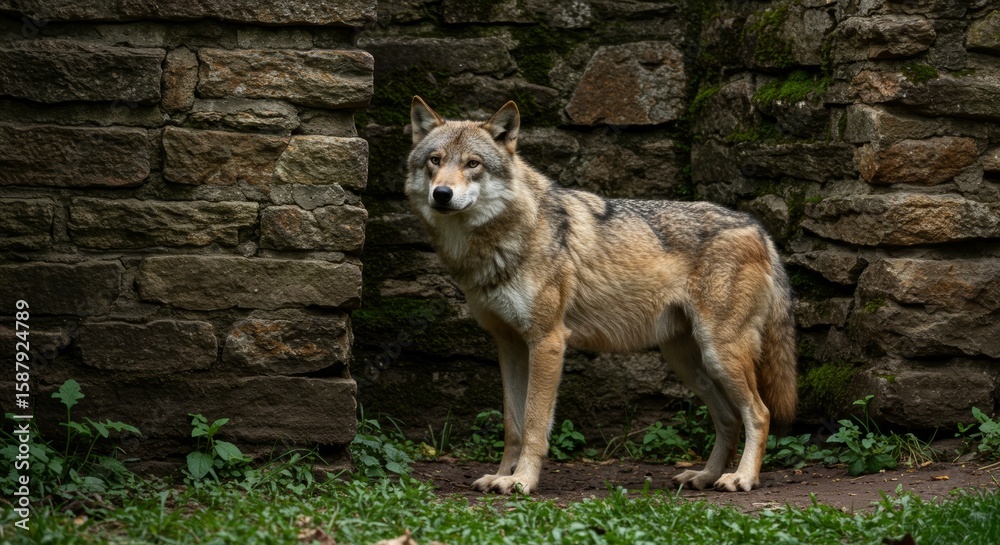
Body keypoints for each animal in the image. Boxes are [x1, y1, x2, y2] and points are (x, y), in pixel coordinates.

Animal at [405, 97, 797, 494]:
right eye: (435, 160)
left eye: (473, 164)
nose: (442, 194)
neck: (500, 240)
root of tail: (758, 228)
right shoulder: (509, 346)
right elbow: (512, 425)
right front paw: (501, 475)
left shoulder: (548, 342)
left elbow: (534, 424)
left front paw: (522, 481)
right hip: (688, 363)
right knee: (729, 417)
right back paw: (704, 476)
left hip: (720, 354)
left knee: (759, 413)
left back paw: (742, 478)